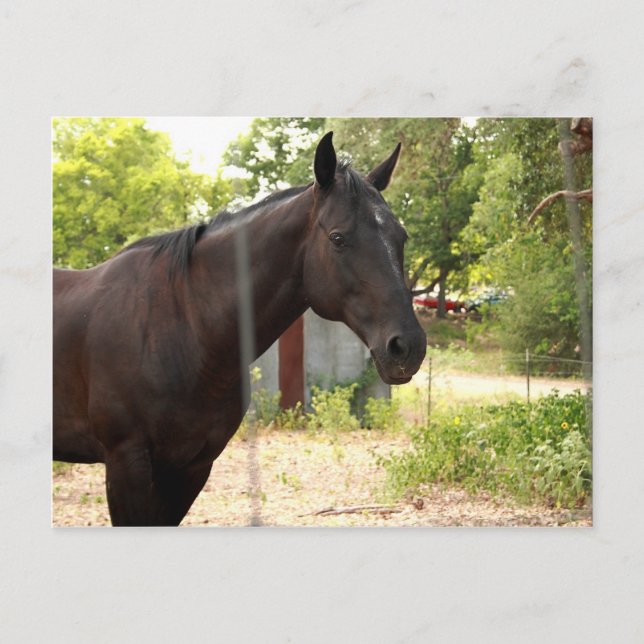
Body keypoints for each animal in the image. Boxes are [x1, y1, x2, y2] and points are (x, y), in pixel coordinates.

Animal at [53, 132, 427, 526]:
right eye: (338, 238)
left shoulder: (191, 467)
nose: (408, 346)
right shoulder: (127, 463)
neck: (178, 327)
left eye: (401, 237)